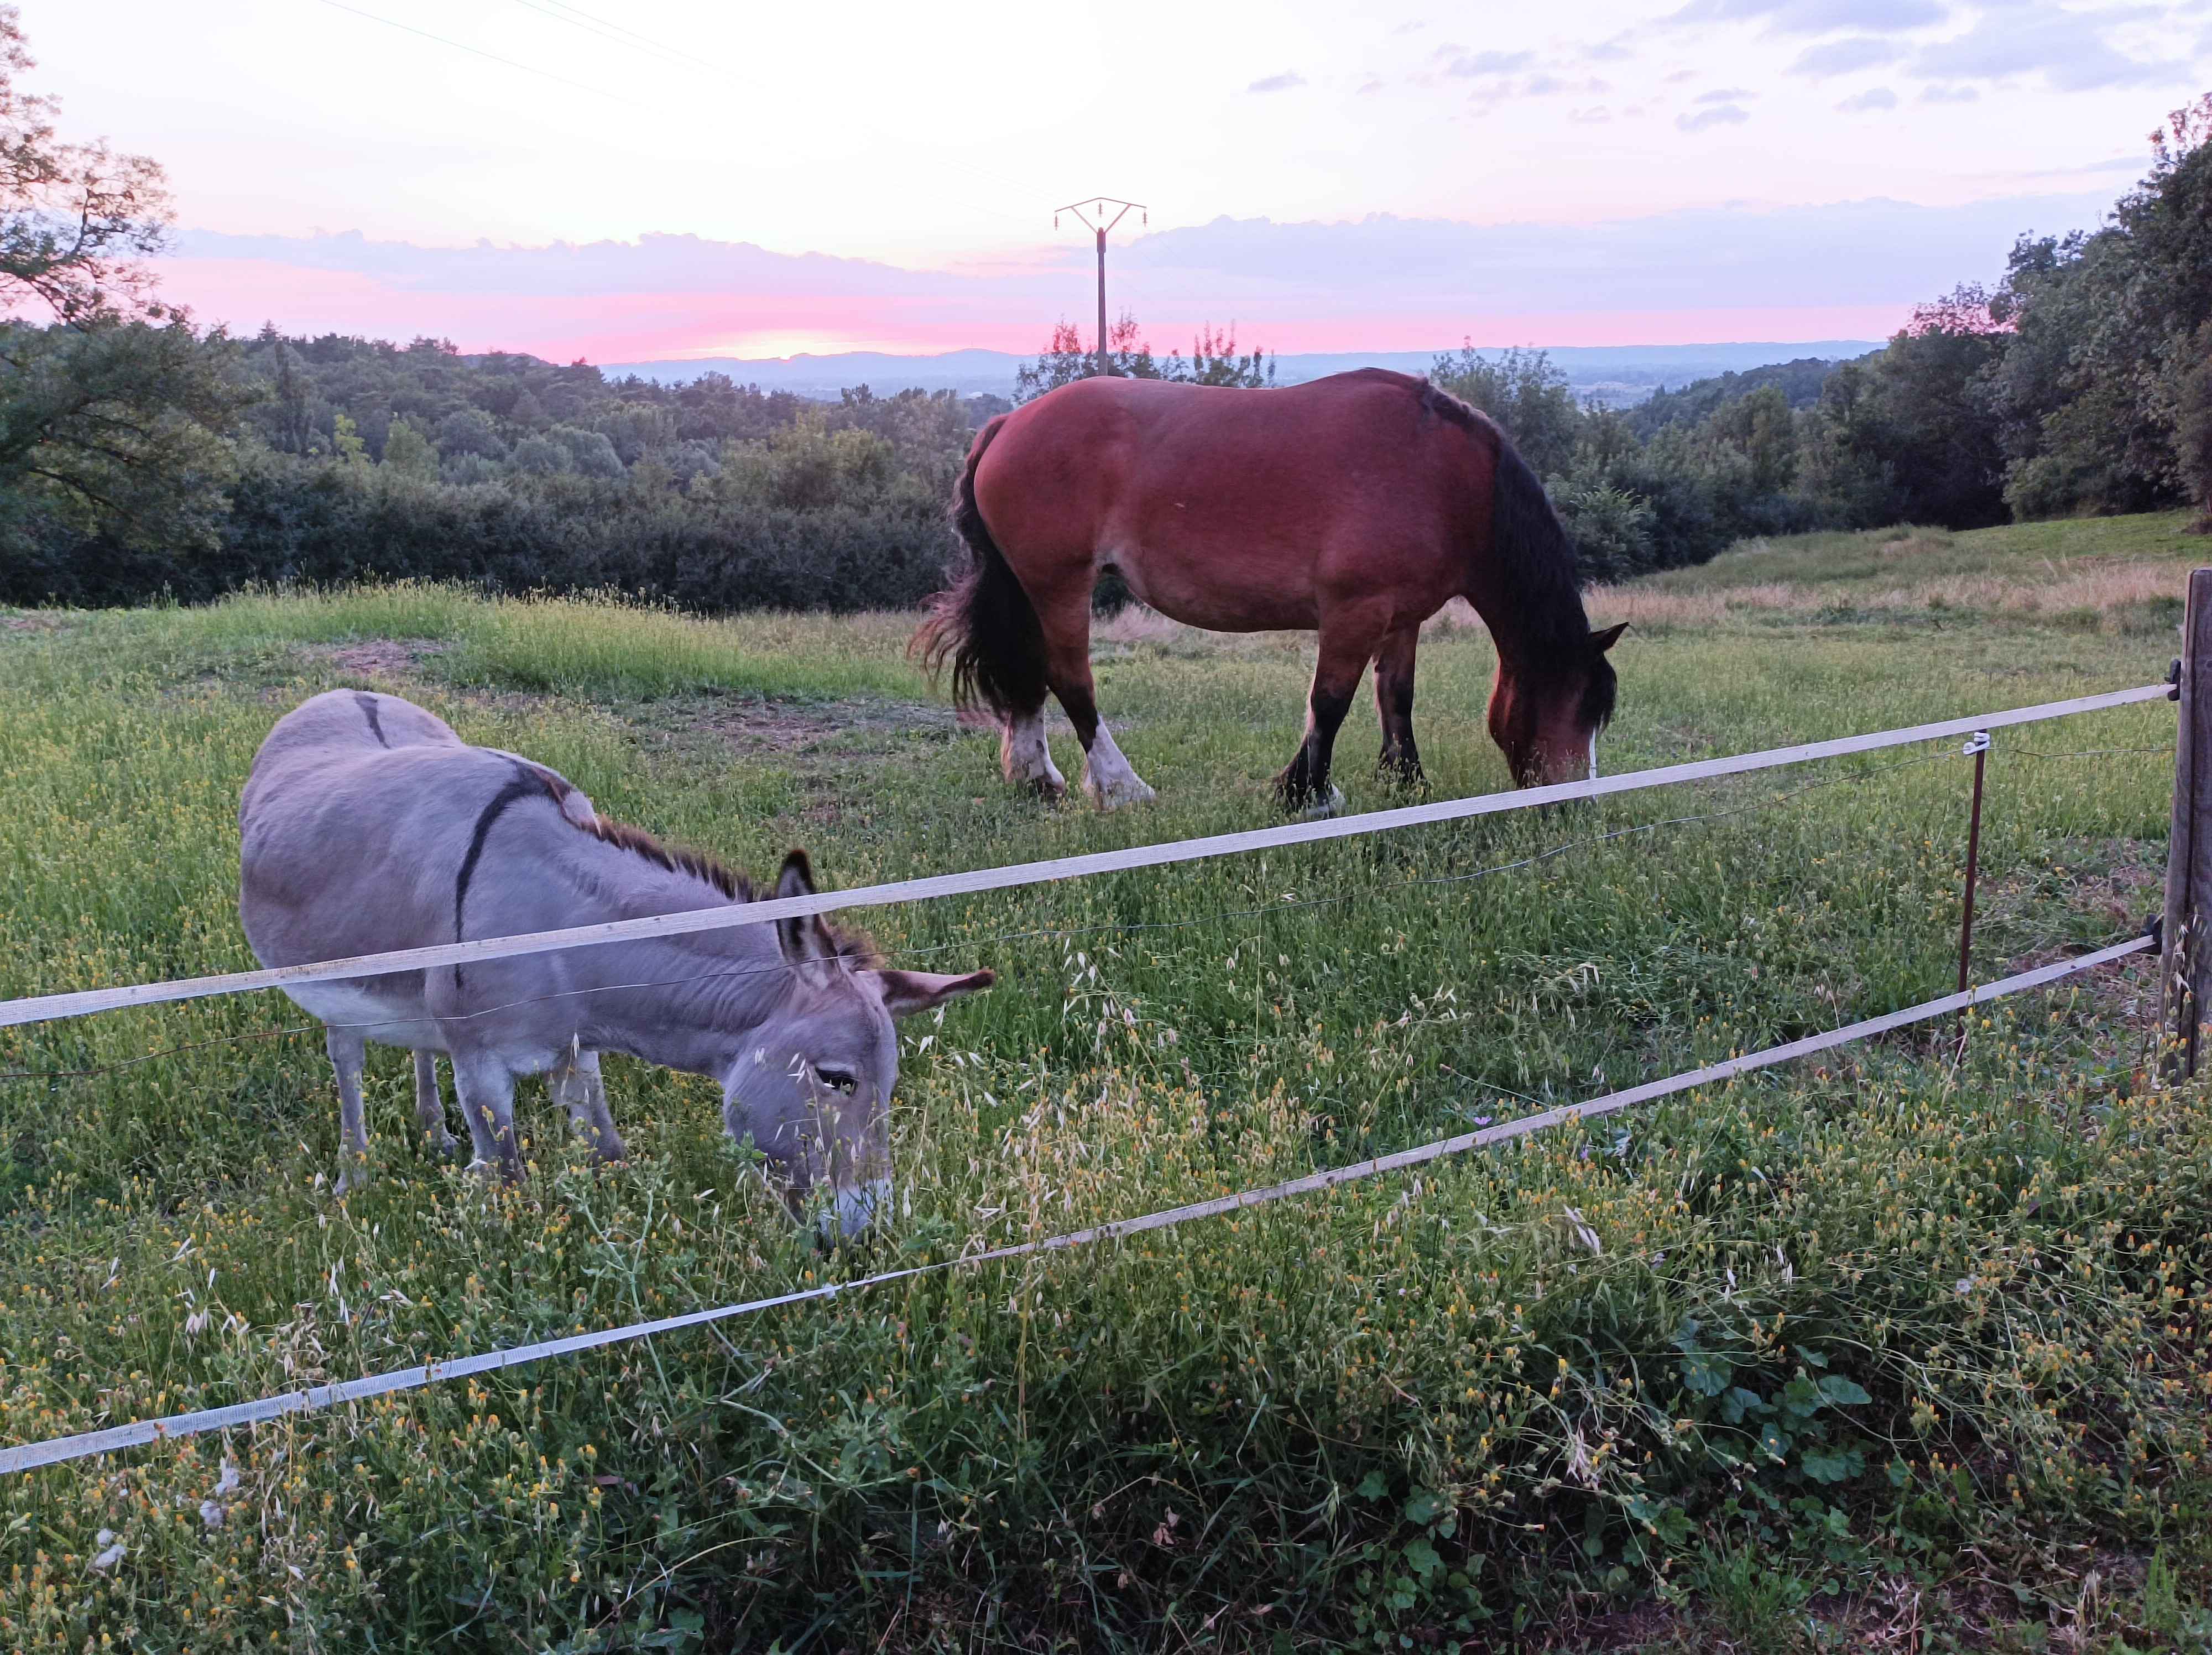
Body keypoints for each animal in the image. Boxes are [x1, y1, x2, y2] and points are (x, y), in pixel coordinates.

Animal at [916, 372, 1628, 819]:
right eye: (1577, 705)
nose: (1575, 804)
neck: (1447, 481)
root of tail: (1007, 424)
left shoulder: (1400, 618)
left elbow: (1395, 698)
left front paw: (1405, 783)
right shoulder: (1353, 612)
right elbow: (1330, 704)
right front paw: (1309, 795)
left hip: (1031, 588)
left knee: (1029, 678)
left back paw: (1038, 778)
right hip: (1061, 584)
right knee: (1070, 679)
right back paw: (1122, 789)